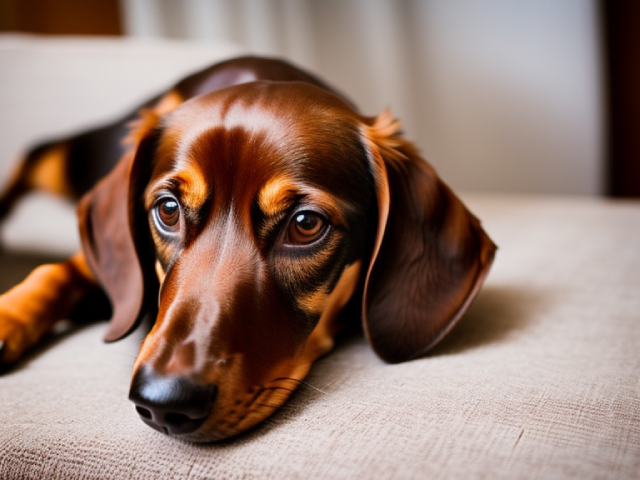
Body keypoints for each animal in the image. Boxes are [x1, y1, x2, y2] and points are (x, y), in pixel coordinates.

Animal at [0, 56, 496, 442]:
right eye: (167, 209)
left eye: (306, 224)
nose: (163, 403)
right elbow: (54, 271)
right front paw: (10, 316)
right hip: (79, 155)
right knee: (36, 153)